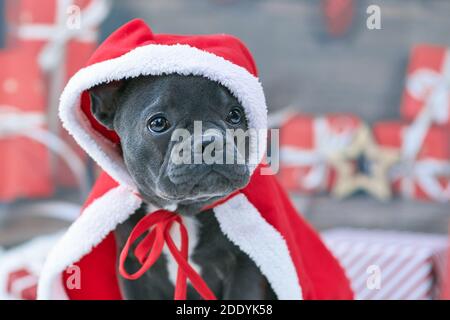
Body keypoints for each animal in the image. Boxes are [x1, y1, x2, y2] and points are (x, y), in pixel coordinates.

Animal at [89, 74, 276, 300]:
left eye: (235, 115)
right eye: (158, 123)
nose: (211, 142)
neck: (180, 212)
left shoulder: (245, 267)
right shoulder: (133, 269)